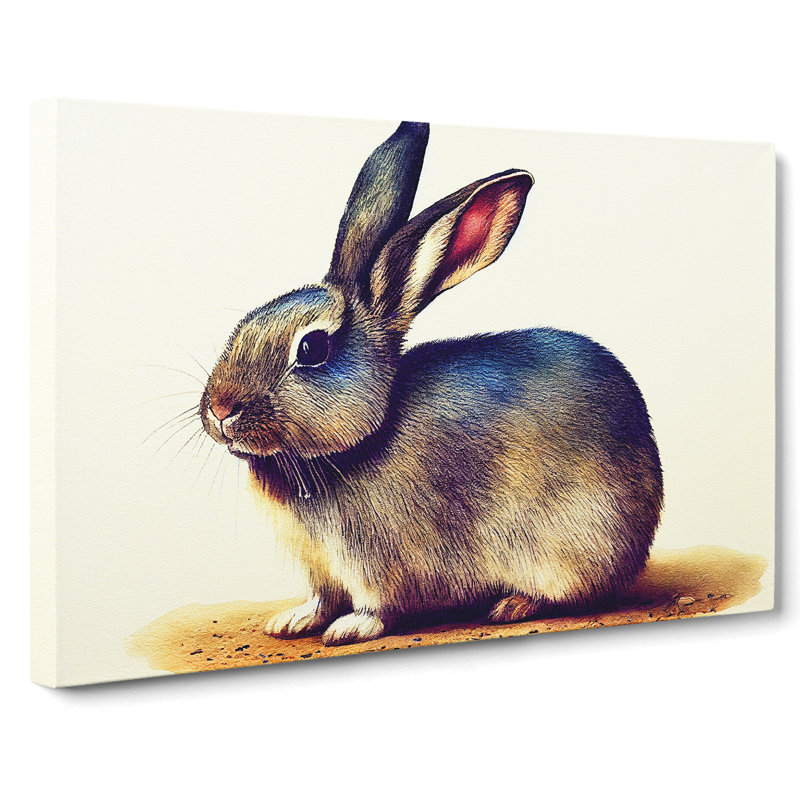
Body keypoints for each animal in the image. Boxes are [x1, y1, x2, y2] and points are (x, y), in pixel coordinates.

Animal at [200, 121, 663, 646]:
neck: (358, 443)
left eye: (313, 349)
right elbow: (321, 597)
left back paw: (512, 604)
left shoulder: (374, 559)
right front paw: (293, 621)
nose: (220, 409)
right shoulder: (319, 567)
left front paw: (349, 629)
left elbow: (377, 604)